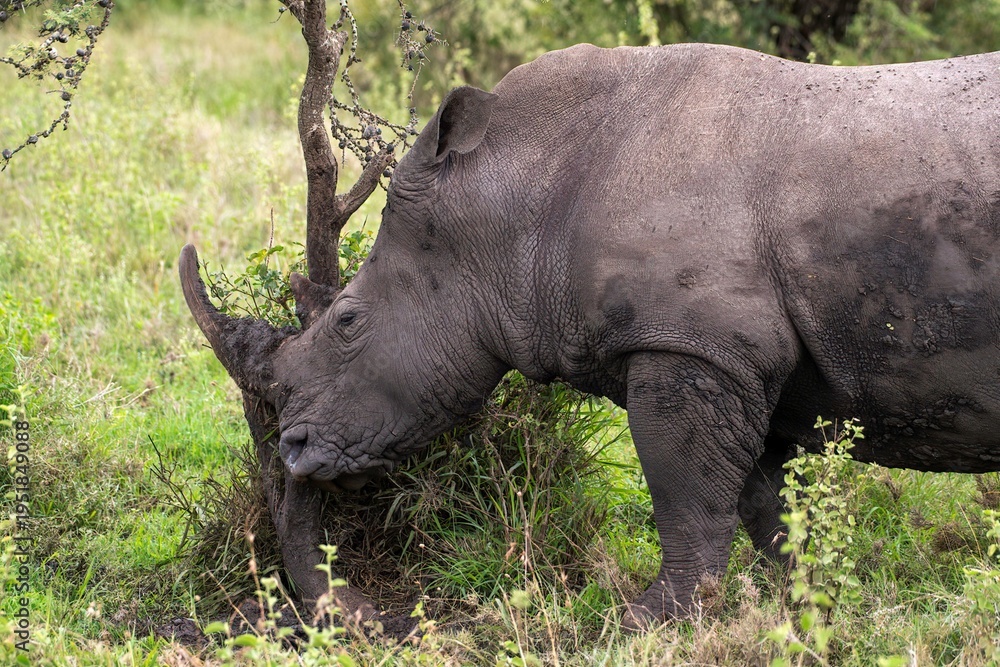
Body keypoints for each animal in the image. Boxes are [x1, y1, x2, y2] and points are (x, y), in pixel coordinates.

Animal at [180, 43, 1000, 627]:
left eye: (348, 321)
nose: (293, 448)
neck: (522, 187)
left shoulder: (691, 344)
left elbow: (686, 494)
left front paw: (644, 622)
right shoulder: (738, 356)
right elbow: (765, 505)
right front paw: (810, 610)